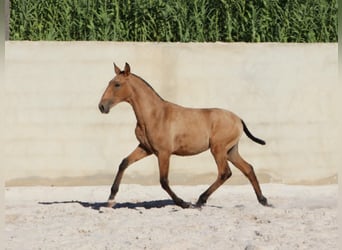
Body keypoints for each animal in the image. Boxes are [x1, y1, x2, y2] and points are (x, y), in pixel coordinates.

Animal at [97, 63, 268, 209]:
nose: (102, 106)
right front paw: (110, 200)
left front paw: (183, 203)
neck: (154, 115)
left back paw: (200, 201)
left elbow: (164, 181)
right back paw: (263, 200)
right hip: (231, 151)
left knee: (225, 172)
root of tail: (239, 119)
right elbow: (124, 163)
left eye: (117, 84)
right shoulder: (146, 148)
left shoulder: (164, 153)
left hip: (218, 149)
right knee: (248, 168)